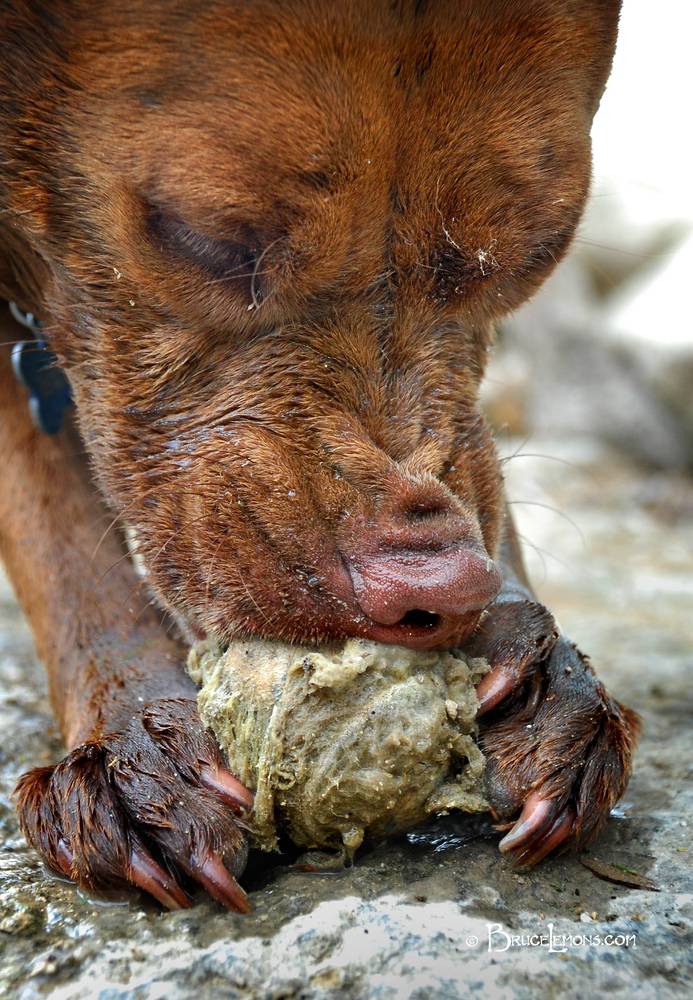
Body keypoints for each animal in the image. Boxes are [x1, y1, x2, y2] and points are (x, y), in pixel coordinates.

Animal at [0, 0, 639, 911]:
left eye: (534, 255)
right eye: (205, 240)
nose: (432, 589)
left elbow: (481, 484)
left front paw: (531, 659)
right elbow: (56, 530)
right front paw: (133, 743)